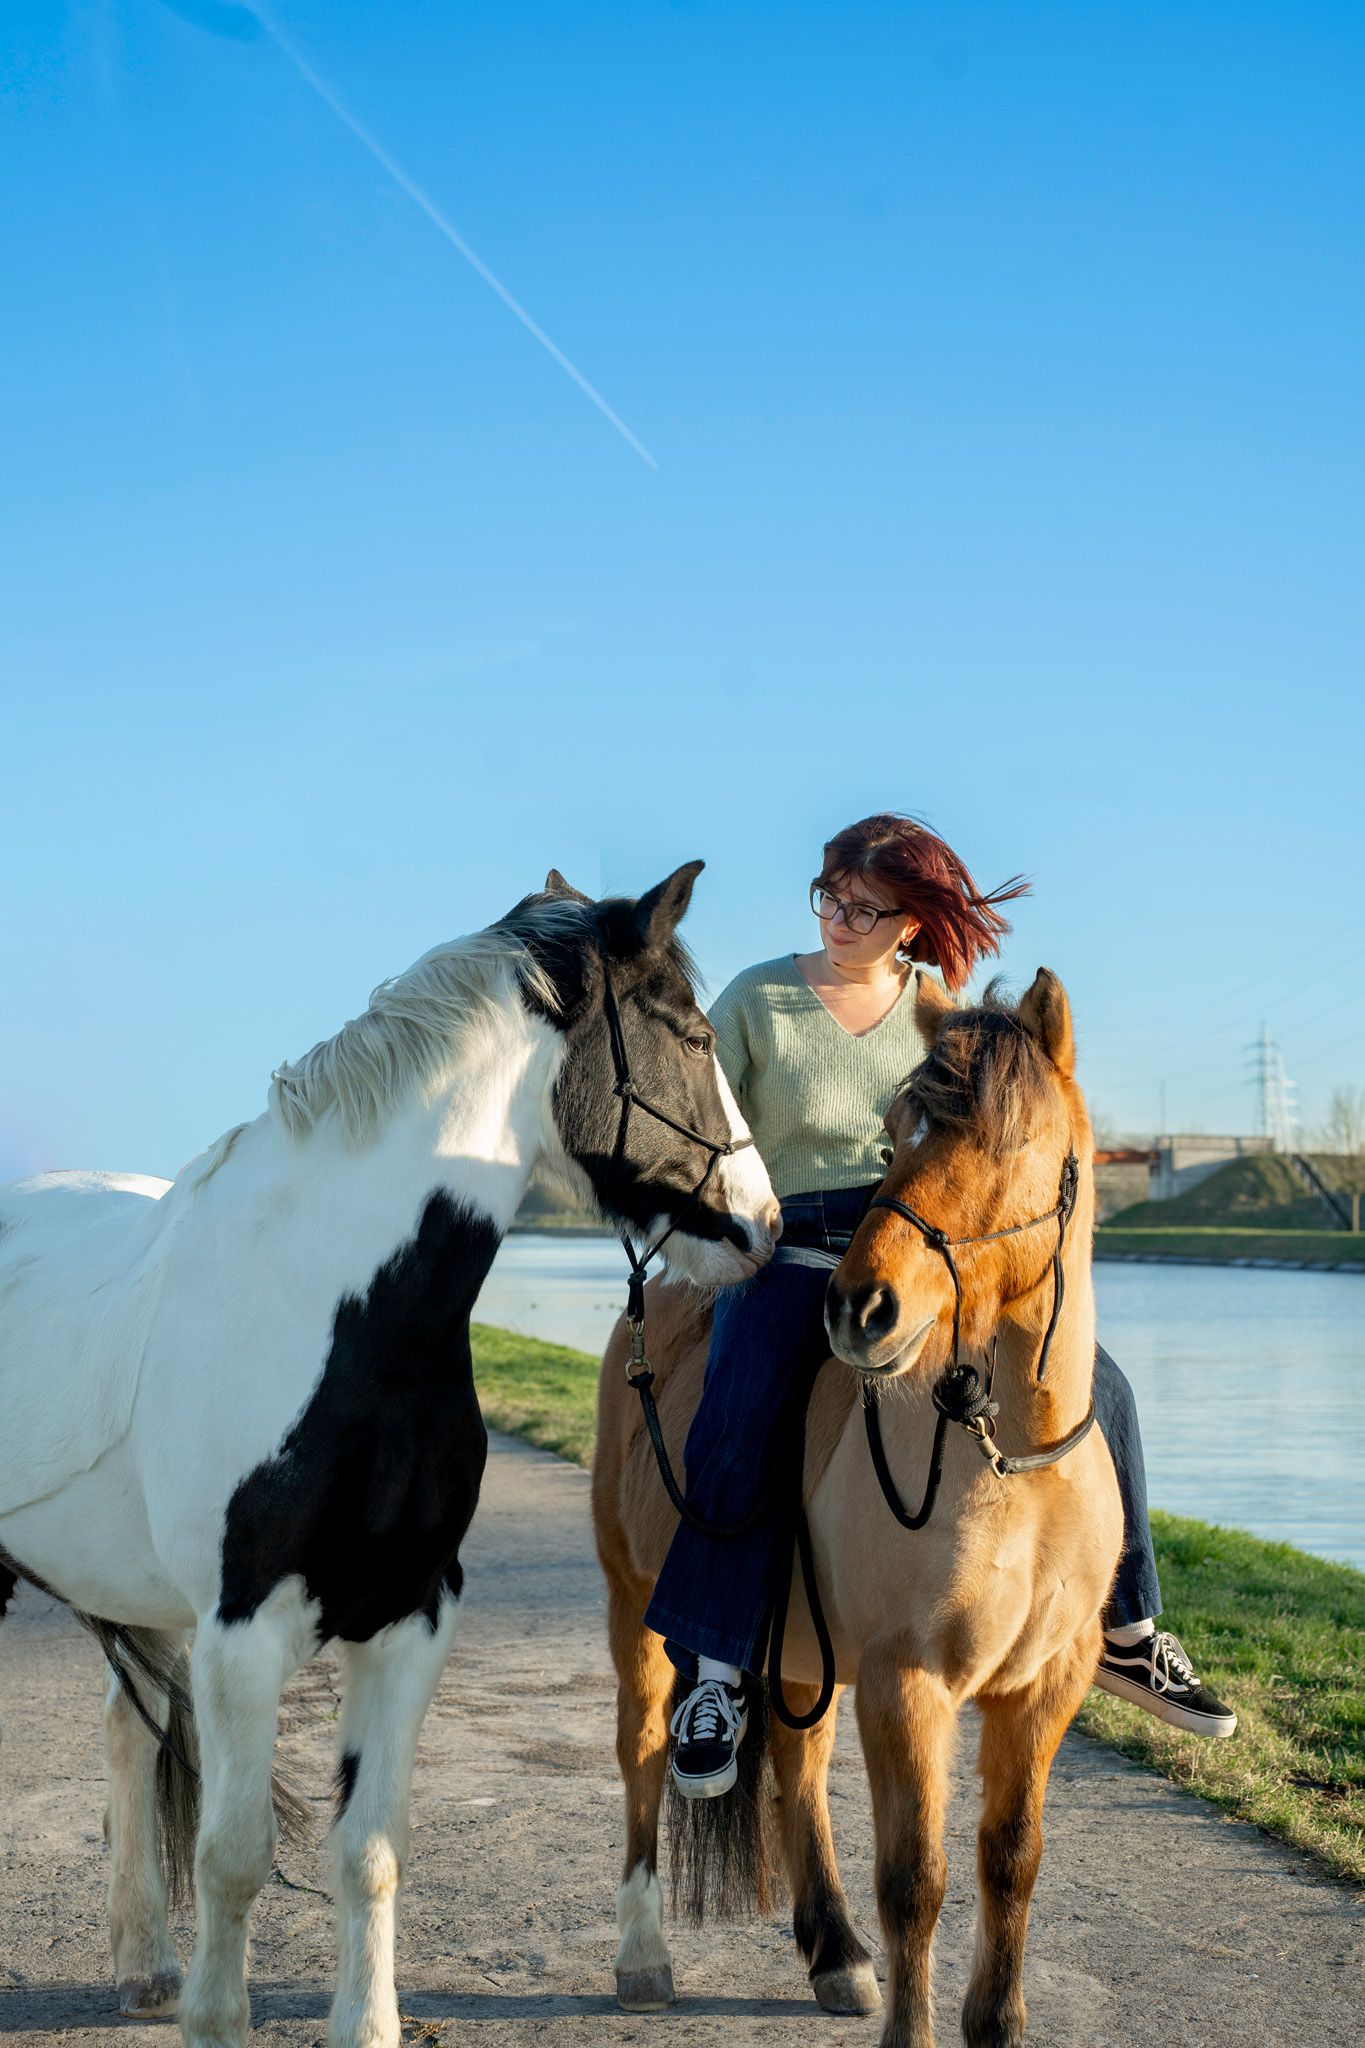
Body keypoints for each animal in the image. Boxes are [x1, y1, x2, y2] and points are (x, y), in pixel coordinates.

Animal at [0, 861, 779, 2048]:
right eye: (690, 1034)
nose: (763, 1224)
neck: (334, 1312)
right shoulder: (243, 1630)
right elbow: (235, 1856)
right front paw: (216, 2018)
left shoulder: (413, 1615)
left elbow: (368, 1849)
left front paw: (360, 2020)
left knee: (128, 1737)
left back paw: (143, 1966)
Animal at [592, 968, 1123, 2048]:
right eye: (895, 1135)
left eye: (1012, 1142)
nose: (859, 1310)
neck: (1015, 1462)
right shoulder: (905, 1680)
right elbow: (916, 1877)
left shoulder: (1044, 1684)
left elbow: (1011, 1856)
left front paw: (994, 2021)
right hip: (636, 1610)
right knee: (642, 1753)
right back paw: (643, 1955)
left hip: (799, 1648)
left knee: (798, 1767)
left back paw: (832, 1950)